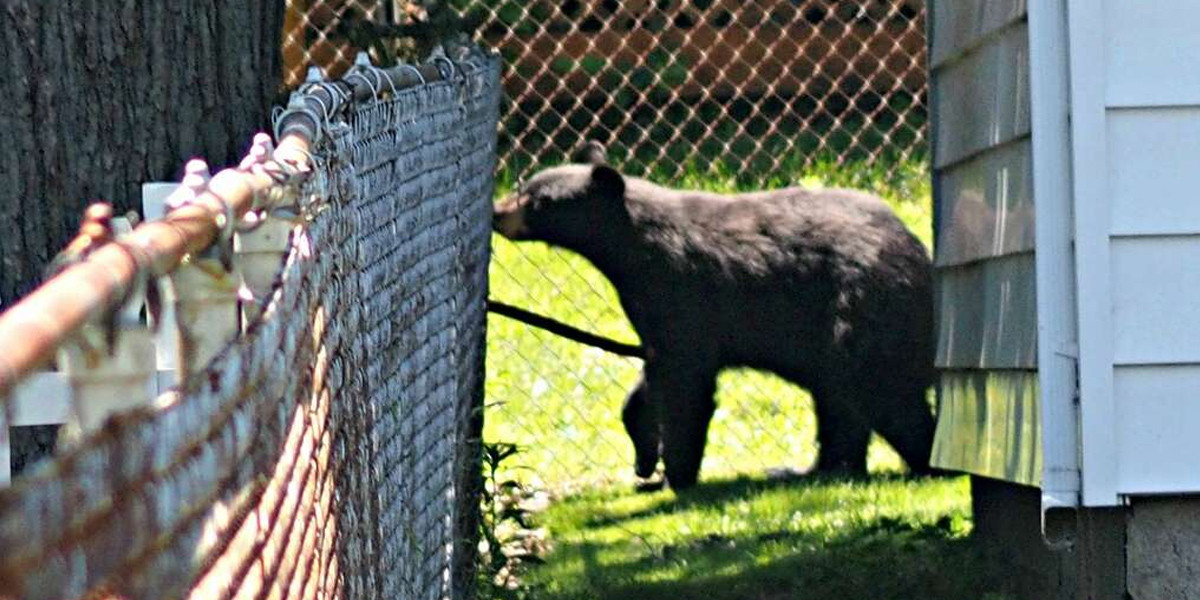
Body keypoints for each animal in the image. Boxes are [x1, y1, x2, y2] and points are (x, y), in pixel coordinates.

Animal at [492, 146, 936, 489]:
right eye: (522, 188)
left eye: (537, 201)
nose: (497, 213)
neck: (634, 250)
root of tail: (919, 255)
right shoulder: (650, 312)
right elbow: (651, 378)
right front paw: (645, 456)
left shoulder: (681, 290)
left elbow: (685, 381)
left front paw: (675, 476)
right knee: (839, 400)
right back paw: (816, 469)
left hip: (862, 311)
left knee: (883, 390)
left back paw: (925, 461)